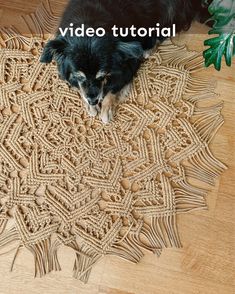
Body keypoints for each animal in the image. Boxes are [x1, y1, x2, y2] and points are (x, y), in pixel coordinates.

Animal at [40, 0, 209, 122]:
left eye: (102, 76)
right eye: (79, 76)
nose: (94, 101)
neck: (90, 22)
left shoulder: (128, 65)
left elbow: (112, 90)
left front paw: (106, 110)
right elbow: (81, 89)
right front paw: (90, 107)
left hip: (168, 11)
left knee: (163, 30)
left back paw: (148, 48)